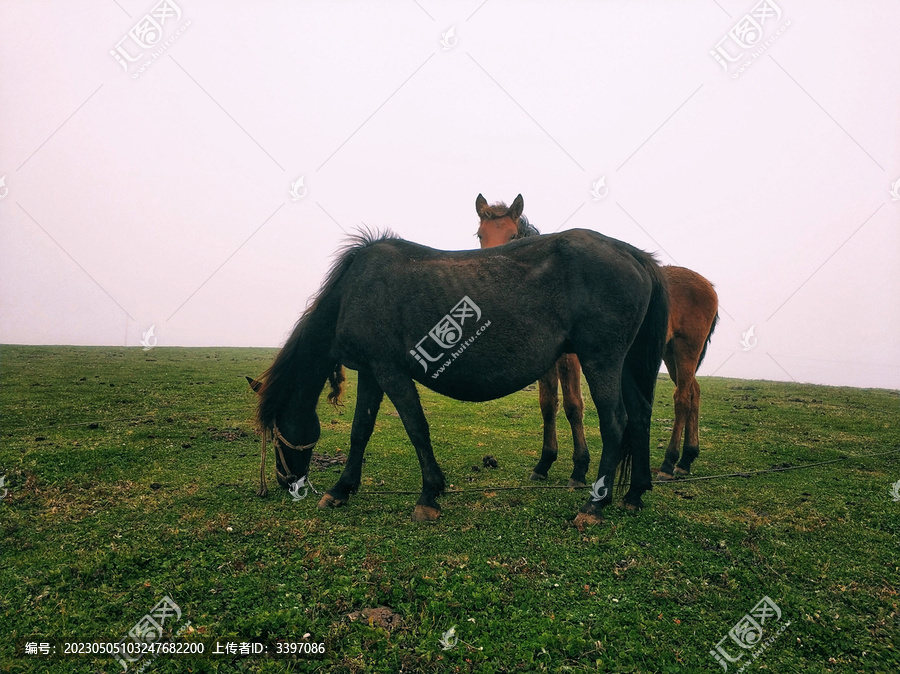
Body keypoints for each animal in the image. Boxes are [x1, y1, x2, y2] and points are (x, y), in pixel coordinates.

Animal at [253, 226, 668, 524]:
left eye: (276, 431)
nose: (284, 481)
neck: (354, 292)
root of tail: (633, 254)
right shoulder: (372, 373)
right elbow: (360, 432)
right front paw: (341, 489)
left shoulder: (390, 371)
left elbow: (416, 428)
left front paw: (429, 496)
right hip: (624, 365)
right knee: (640, 416)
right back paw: (633, 495)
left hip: (601, 361)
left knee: (616, 423)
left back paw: (594, 506)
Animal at [474, 192, 720, 480]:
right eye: (480, 235)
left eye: (513, 236)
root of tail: (708, 285)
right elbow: (547, 405)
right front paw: (544, 463)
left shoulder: (569, 358)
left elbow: (573, 405)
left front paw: (579, 468)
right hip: (670, 354)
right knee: (694, 392)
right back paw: (687, 459)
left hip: (686, 349)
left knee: (682, 398)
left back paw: (669, 463)